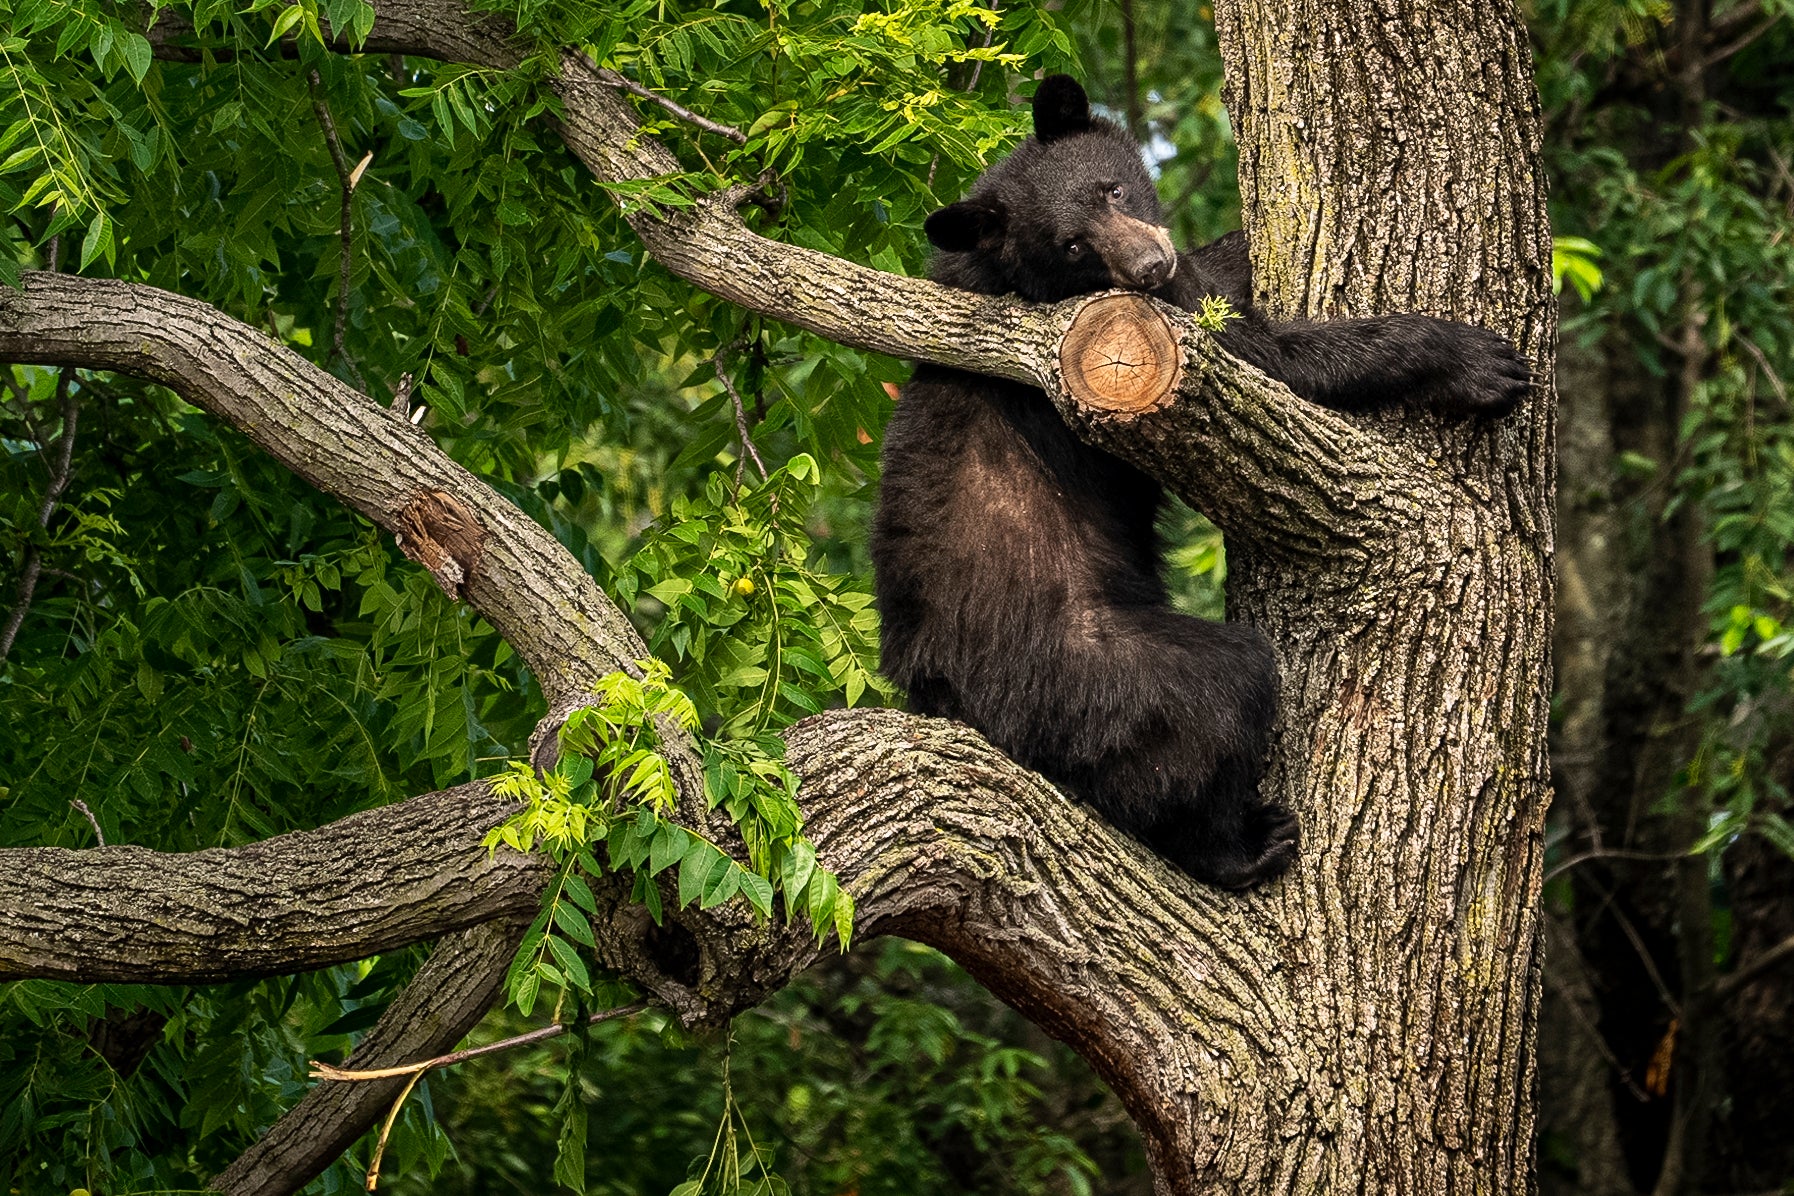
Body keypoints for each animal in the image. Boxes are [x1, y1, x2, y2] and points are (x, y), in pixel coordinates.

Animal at [870, 75, 1530, 890]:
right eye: (1073, 245)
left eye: (1115, 188)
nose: (1149, 264)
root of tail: (940, 693)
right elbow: (1272, 363)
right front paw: (1476, 362)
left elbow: (1217, 280)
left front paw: (1233, 243)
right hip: (1090, 670)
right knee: (1215, 699)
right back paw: (1243, 843)